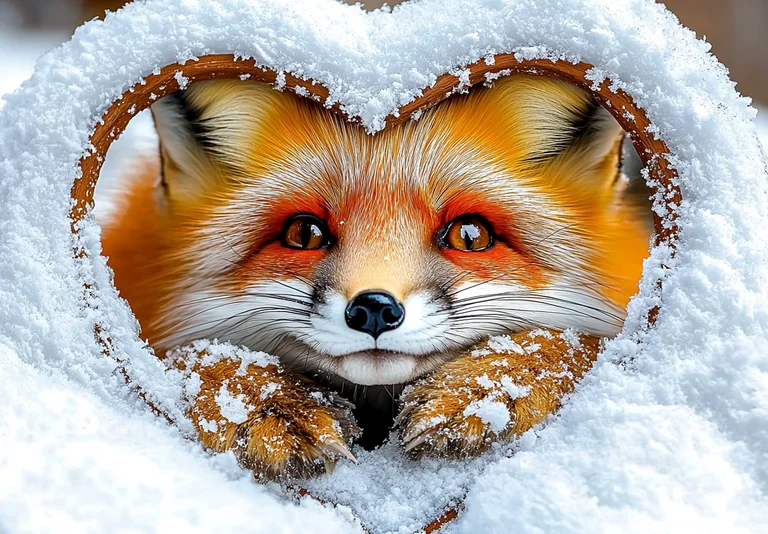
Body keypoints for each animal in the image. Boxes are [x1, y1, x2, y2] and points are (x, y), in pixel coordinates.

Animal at [100, 75, 650, 479]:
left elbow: (577, 344)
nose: (374, 309)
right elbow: (190, 357)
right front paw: (268, 406)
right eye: (304, 233)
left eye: (470, 235)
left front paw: (488, 386)